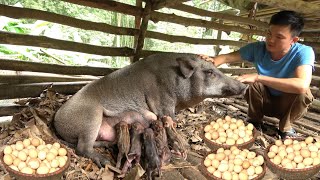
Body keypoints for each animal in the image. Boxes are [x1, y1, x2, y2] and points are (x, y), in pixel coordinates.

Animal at [53, 52, 248, 167]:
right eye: (209, 72)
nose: (244, 86)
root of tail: (56, 121)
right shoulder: (164, 103)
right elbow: (170, 120)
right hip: (90, 116)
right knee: (82, 147)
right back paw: (104, 161)